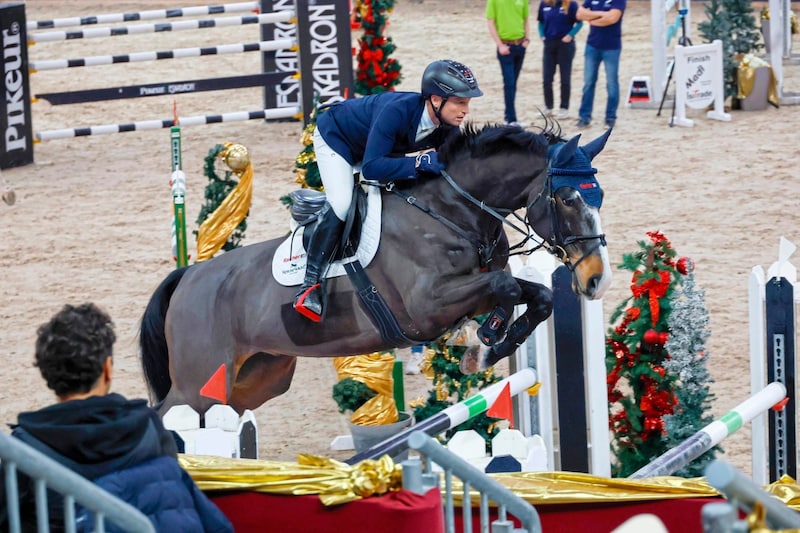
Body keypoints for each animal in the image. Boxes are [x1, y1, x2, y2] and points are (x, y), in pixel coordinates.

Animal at [141, 123, 612, 416]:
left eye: (599, 195)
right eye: (568, 198)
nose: (596, 280)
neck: (452, 212)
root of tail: (187, 277)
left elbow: (537, 295)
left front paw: (485, 348)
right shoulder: (427, 306)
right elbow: (506, 286)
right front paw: (483, 342)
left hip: (258, 376)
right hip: (198, 382)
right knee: (168, 414)